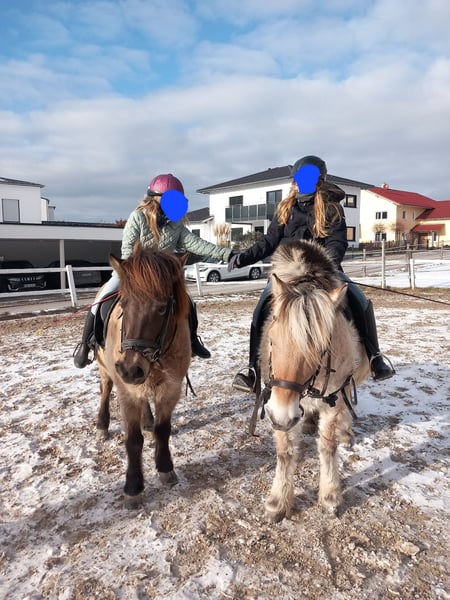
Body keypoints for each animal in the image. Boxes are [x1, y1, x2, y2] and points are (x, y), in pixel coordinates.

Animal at [95, 244, 191, 506]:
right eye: (125, 304)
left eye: (162, 308)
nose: (130, 369)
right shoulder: (127, 392)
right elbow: (133, 440)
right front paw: (133, 487)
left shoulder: (170, 389)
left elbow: (162, 430)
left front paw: (165, 468)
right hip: (106, 369)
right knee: (105, 389)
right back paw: (102, 424)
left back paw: (147, 419)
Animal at [257, 240, 370, 522]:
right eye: (272, 339)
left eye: (321, 349)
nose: (283, 416)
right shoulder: (277, 403)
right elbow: (284, 452)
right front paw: (278, 501)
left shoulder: (333, 399)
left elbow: (328, 446)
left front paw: (330, 495)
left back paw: (345, 432)